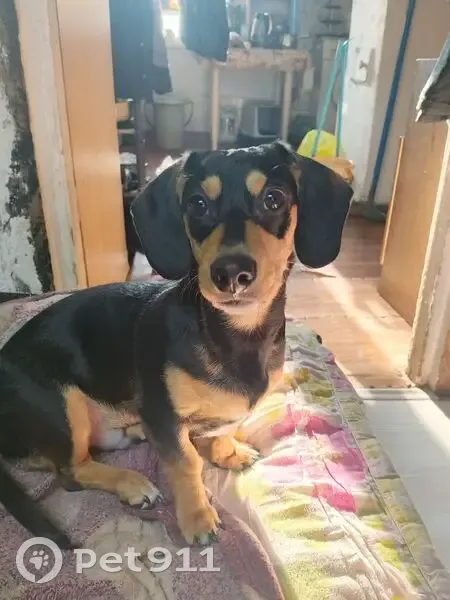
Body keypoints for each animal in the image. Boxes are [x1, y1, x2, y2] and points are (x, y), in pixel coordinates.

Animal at [0, 141, 352, 548]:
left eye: (274, 199)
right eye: (197, 204)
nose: (231, 273)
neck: (233, 335)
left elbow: (225, 429)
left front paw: (227, 452)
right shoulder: (164, 414)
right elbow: (186, 463)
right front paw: (198, 519)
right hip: (64, 405)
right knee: (70, 472)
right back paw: (132, 483)